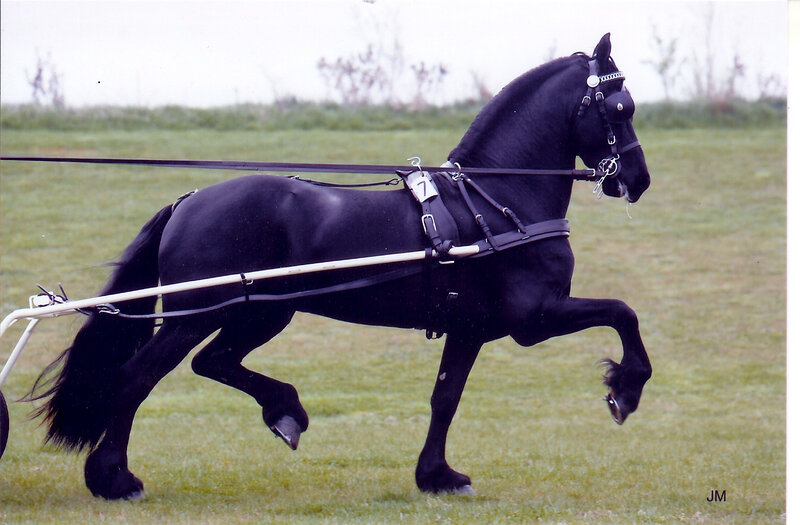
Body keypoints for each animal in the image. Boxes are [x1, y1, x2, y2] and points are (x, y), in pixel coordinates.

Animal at [26, 33, 651, 500]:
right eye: (621, 107)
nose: (638, 180)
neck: (495, 201)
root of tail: (189, 200)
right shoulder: (534, 318)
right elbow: (624, 312)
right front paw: (625, 391)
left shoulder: (470, 329)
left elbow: (445, 397)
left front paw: (437, 476)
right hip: (199, 315)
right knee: (137, 378)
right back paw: (115, 479)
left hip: (260, 314)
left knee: (213, 363)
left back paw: (284, 412)